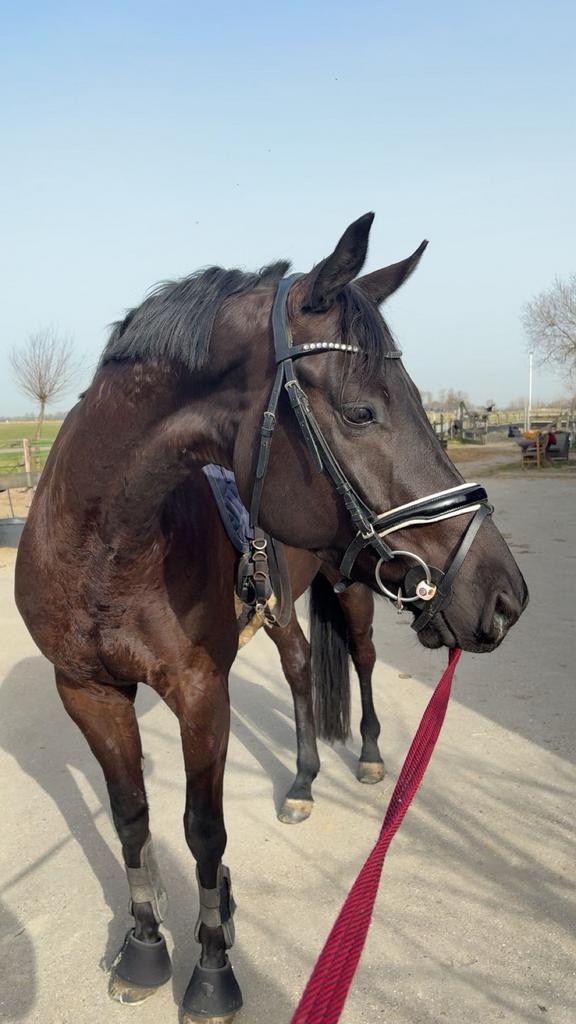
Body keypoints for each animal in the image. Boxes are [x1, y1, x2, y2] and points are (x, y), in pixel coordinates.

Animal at [14, 213, 528, 1024]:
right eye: (360, 411)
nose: (504, 594)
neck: (103, 545)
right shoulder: (88, 691)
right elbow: (132, 818)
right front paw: (144, 948)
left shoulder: (200, 692)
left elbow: (203, 830)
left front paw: (213, 967)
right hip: (285, 612)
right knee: (298, 673)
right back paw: (302, 784)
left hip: (355, 590)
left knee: (361, 662)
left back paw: (370, 756)